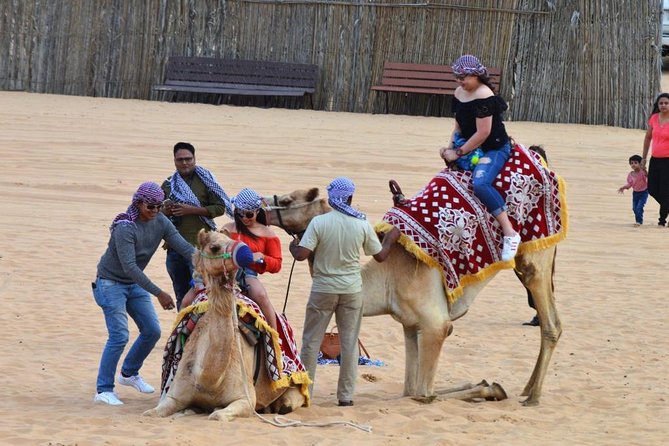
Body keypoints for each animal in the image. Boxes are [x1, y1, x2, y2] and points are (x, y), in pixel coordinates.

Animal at [143, 230, 306, 421]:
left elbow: (218, 415)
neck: (209, 380)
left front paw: (210, 409)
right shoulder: (174, 395)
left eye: (233, 240)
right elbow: (151, 413)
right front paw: (188, 410)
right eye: (214, 247)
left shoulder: (245, 399)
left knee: (288, 402)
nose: (245, 253)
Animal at [266, 187, 562, 406]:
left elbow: (423, 394)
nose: (258, 210)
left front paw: (493, 388)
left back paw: (533, 397)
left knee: (550, 323)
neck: (385, 278)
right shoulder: (410, 325)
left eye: (287, 200)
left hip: (535, 258)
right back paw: (527, 389)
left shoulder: (436, 325)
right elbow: (410, 390)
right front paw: (483, 383)